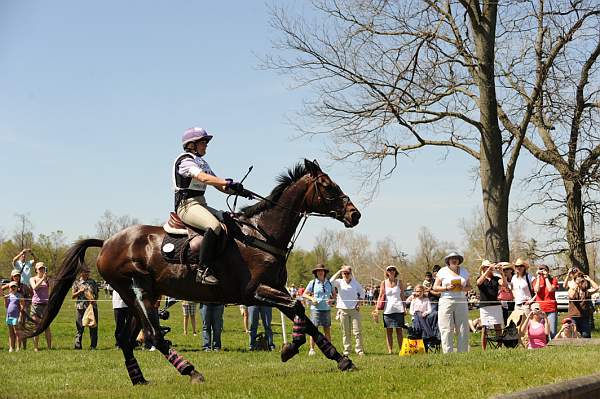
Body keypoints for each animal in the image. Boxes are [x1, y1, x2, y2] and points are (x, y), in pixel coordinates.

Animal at [31, 159, 360, 384]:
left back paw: (139, 379)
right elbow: (298, 309)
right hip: (135, 291)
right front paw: (291, 348)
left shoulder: (274, 291)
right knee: (155, 335)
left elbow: (303, 316)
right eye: (328, 186)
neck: (262, 234)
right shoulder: (255, 292)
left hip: (143, 295)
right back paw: (191, 371)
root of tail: (108, 242)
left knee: (128, 338)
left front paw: (338, 359)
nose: (354, 214)